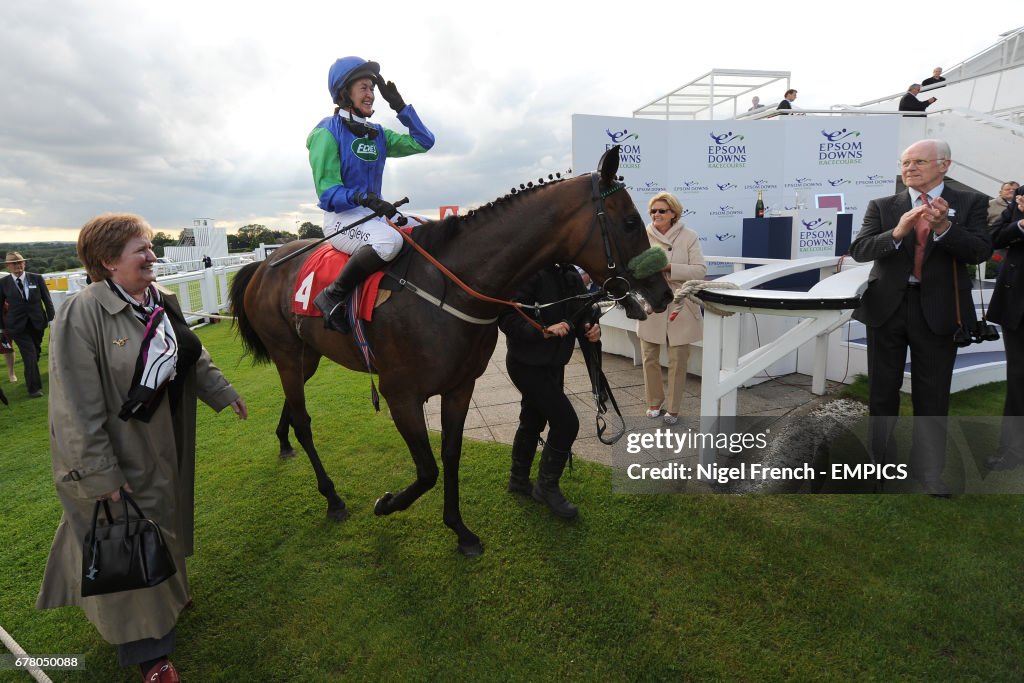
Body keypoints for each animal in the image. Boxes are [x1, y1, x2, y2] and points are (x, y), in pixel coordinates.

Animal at [231, 148, 671, 557]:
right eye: (631, 222)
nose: (663, 293)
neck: (450, 289)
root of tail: (265, 264)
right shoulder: (400, 395)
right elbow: (427, 470)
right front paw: (387, 504)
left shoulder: (460, 387)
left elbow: (451, 455)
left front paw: (460, 531)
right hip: (288, 353)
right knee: (305, 422)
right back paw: (333, 497)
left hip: (307, 356)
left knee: (293, 409)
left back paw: (284, 442)